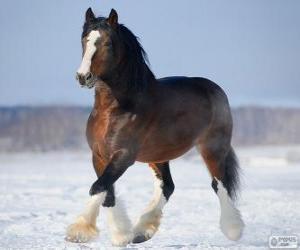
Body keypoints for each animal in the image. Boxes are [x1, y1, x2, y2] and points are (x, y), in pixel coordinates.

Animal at [65, 7, 244, 246]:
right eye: (84, 39)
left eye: (107, 43)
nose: (83, 77)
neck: (114, 109)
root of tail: (214, 88)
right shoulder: (99, 156)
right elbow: (106, 191)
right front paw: (121, 235)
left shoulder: (124, 155)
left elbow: (98, 187)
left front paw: (79, 231)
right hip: (158, 156)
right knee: (167, 186)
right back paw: (142, 231)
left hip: (212, 148)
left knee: (219, 184)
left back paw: (233, 229)